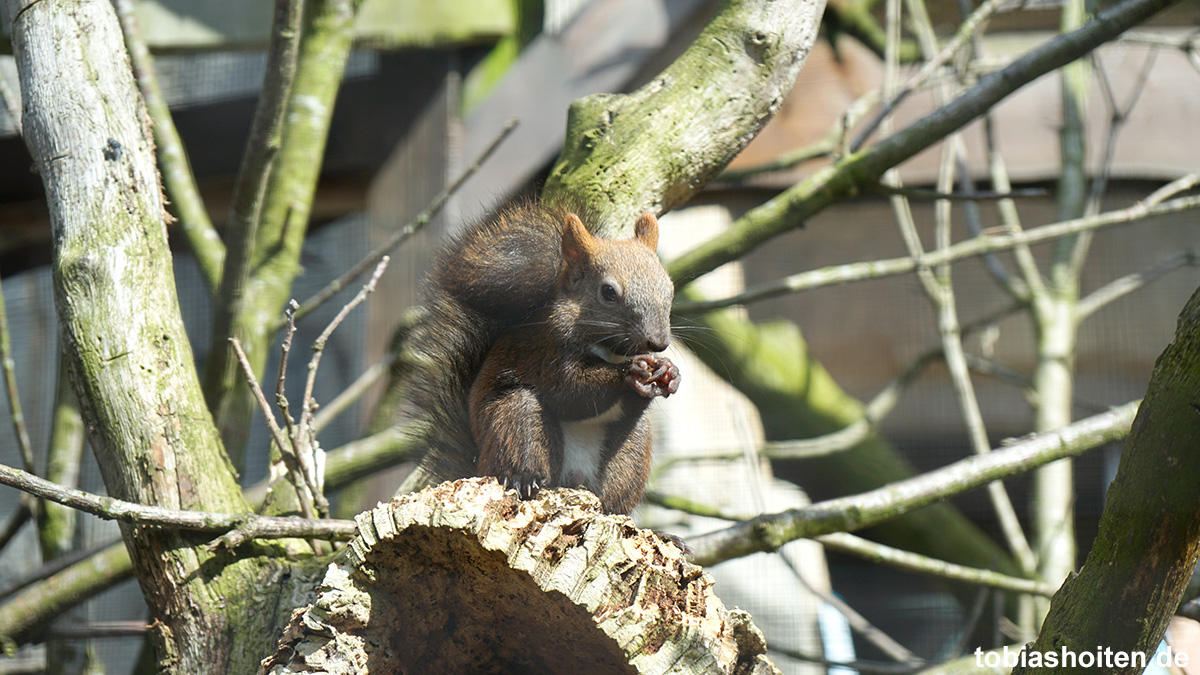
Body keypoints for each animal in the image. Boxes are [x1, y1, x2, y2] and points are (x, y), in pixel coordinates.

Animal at [403, 196, 681, 511]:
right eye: (608, 292)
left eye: (669, 288)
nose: (658, 342)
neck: (610, 351)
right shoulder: (547, 351)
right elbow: (571, 392)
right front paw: (629, 373)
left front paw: (669, 373)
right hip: (516, 419)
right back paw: (524, 480)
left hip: (631, 451)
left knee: (613, 498)